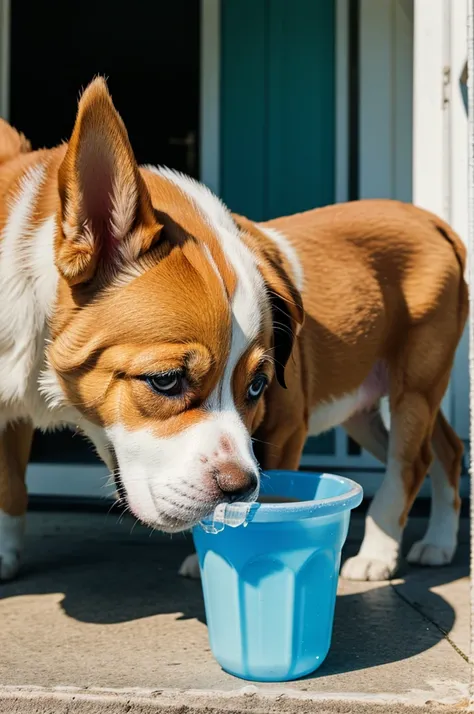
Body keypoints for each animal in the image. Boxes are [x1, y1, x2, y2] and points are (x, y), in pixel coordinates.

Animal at [0, 78, 466, 580]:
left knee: (412, 460)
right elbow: (9, 481)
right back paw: (439, 542)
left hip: (414, 386)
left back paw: (380, 552)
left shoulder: (286, 424)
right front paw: (5, 555)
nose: (238, 488)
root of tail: (431, 221)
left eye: (258, 386)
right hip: (363, 404)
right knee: (447, 449)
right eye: (166, 381)